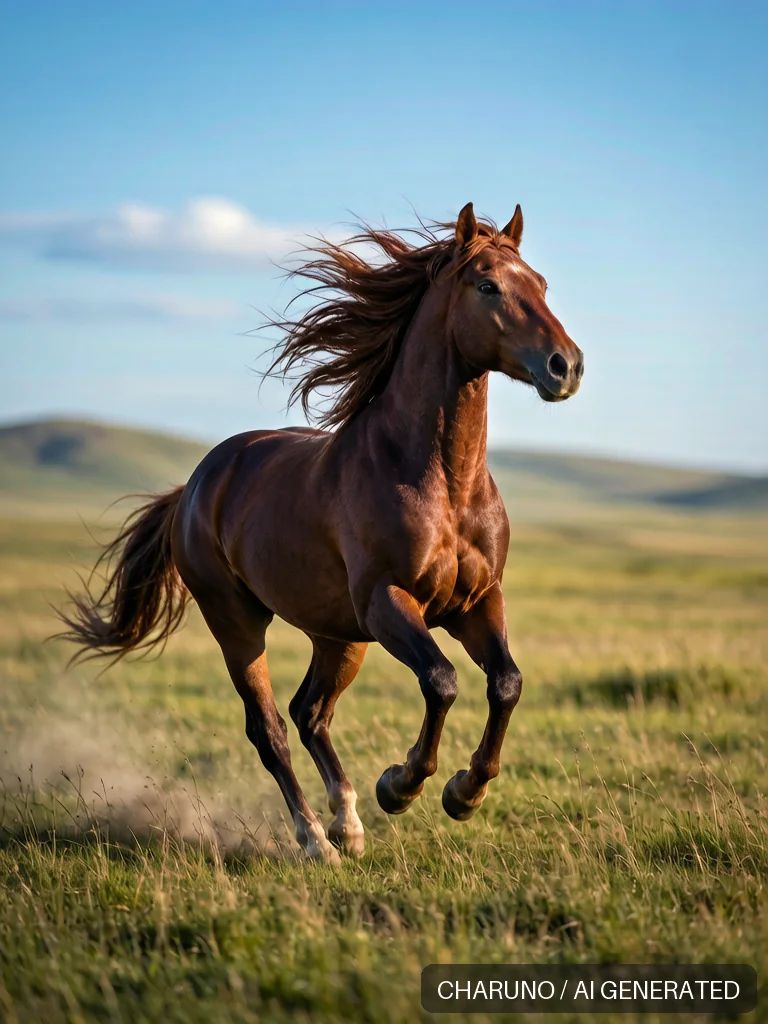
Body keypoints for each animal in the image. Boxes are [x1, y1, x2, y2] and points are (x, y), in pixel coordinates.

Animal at [60, 202, 584, 862]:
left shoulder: (476, 601)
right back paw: (316, 837)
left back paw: (347, 823)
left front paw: (466, 793)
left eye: (541, 283)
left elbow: (507, 683)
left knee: (310, 712)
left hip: (338, 635)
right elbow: (441, 681)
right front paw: (402, 785)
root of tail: (199, 484)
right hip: (239, 622)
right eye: (488, 285)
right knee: (270, 728)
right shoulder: (389, 601)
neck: (441, 481)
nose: (567, 366)